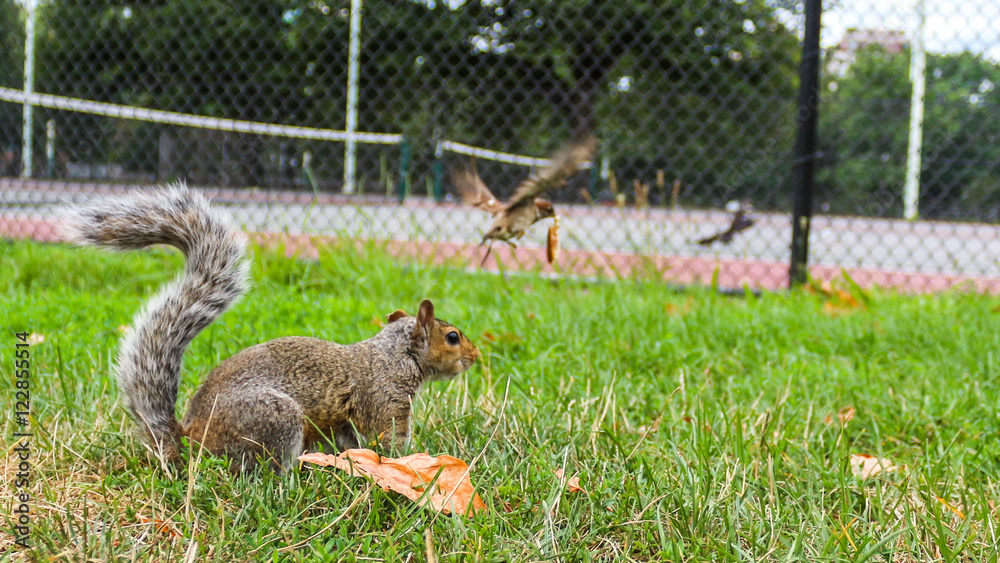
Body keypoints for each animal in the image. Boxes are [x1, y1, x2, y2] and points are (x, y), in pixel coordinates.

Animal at [65, 185, 480, 474]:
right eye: (452, 337)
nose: (476, 356)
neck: (393, 354)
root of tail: (191, 444)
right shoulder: (383, 400)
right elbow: (389, 441)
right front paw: (412, 460)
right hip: (274, 419)